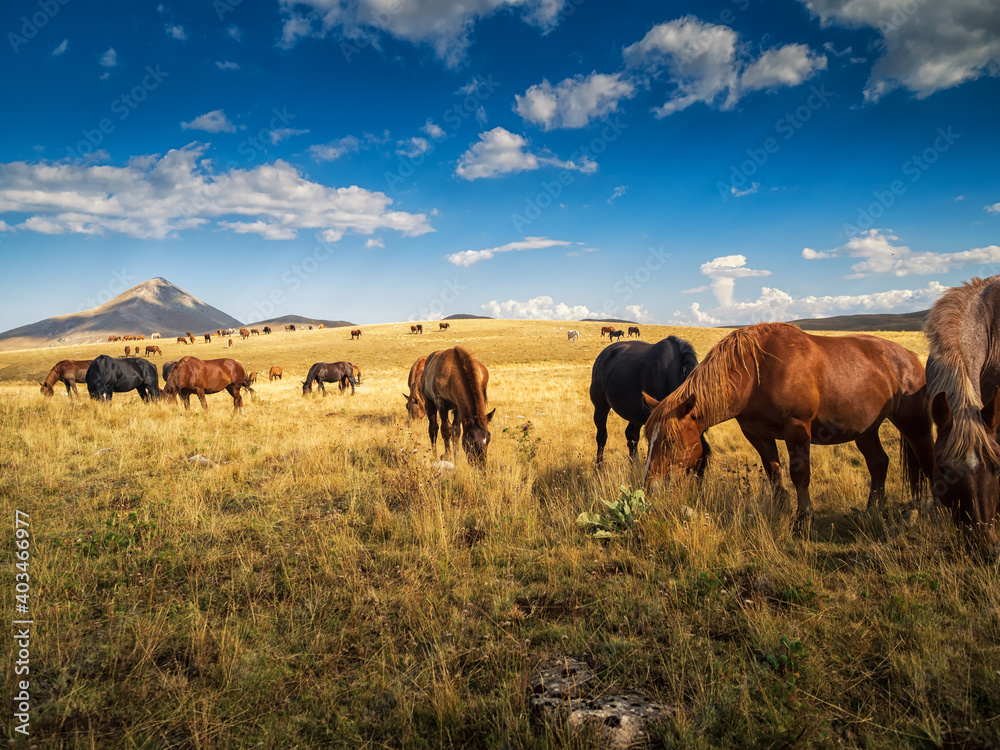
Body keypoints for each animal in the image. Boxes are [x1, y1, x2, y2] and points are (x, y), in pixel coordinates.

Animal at [588, 340, 708, 472]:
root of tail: (603, 355)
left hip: (635, 413)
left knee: (631, 436)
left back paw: (634, 468)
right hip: (601, 406)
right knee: (602, 437)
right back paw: (599, 468)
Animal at [636, 326, 932, 536]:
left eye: (670, 442)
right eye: (648, 440)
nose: (649, 488)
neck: (756, 373)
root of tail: (912, 358)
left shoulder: (797, 431)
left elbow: (799, 475)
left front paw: (802, 521)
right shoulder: (758, 435)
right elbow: (773, 472)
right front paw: (779, 511)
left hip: (915, 425)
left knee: (927, 461)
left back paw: (934, 512)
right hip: (866, 430)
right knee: (879, 463)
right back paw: (872, 509)